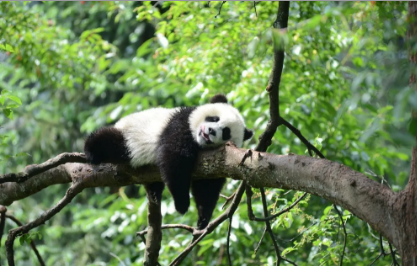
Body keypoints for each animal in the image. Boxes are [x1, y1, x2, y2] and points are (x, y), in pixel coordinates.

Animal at [84, 94, 252, 230]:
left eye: (226, 132)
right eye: (214, 118)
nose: (210, 131)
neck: (199, 143)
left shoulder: (216, 162)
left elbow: (207, 187)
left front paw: (203, 218)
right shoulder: (181, 124)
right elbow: (174, 159)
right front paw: (182, 204)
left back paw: (154, 191)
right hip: (129, 136)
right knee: (111, 141)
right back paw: (91, 149)